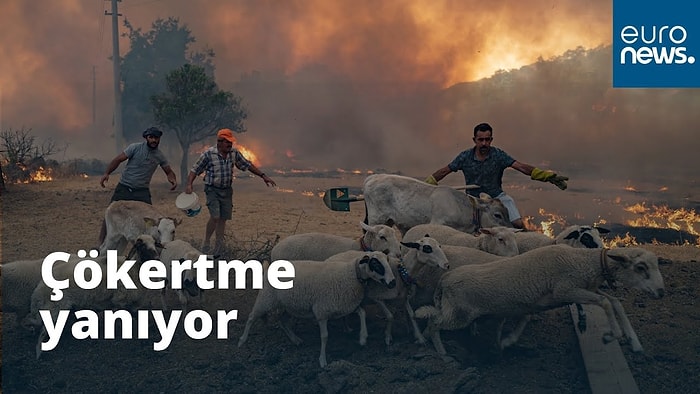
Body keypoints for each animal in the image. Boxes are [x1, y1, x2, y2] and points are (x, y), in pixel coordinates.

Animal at [238, 251, 396, 368]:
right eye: (375, 263)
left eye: (387, 261)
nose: (393, 283)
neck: (351, 273)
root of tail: (268, 268)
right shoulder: (322, 311)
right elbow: (324, 336)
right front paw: (322, 360)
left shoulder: (343, 304)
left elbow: (362, 313)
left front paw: (363, 338)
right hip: (266, 299)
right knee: (252, 317)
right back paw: (242, 340)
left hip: (288, 305)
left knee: (282, 320)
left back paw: (295, 340)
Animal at [418, 245, 664, 356]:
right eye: (640, 267)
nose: (661, 292)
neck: (584, 262)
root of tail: (446, 279)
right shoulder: (565, 291)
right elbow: (605, 303)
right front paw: (611, 335)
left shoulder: (574, 291)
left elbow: (614, 302)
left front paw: (634, 342)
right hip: (460, 313)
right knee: (434, 323)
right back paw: (441, 352)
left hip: (456, 310)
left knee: (433, 321)